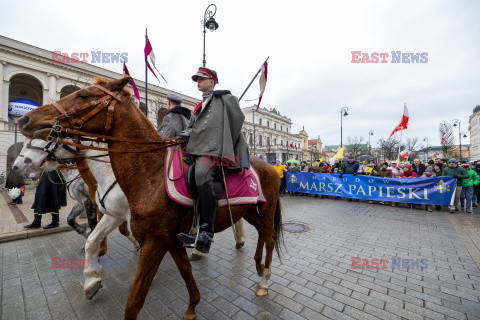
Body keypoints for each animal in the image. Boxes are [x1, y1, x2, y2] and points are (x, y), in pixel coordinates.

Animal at [18, 77, 284, 320]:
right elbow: (183, 270)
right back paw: (256, 263)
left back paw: (263, 280)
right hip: (249, 211)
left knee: (270, 238)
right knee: (261, 234)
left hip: (265, 209)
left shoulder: (155, 240)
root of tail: (270, 167)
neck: (149, 175)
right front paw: (192, 306)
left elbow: (134, 300)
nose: (24, 120)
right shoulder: (165, 236)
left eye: (84, 95)